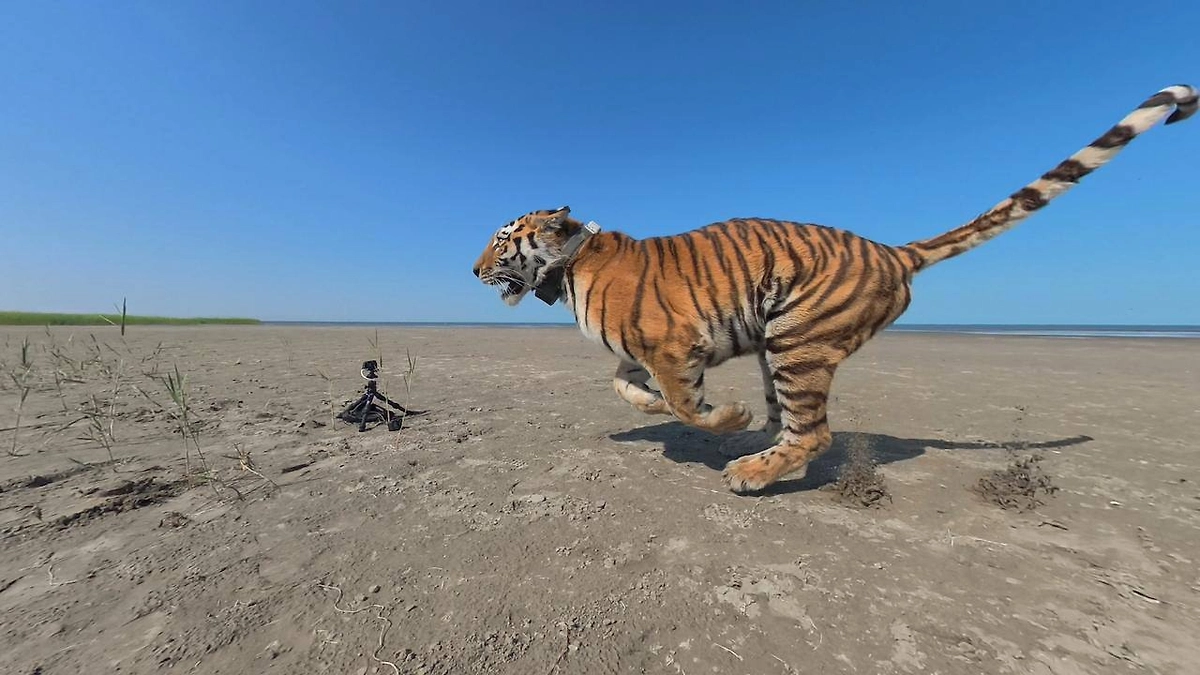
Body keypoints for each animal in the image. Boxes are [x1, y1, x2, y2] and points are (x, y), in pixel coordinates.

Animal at [472, 84, 1196, 494]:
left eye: (502, 240)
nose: (473, 270)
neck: (568, 268)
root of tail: (890, 249)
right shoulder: (641, 352)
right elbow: (628, 387)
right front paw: (653, 407)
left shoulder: (675, 347)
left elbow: (685, 404)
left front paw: (720, 419)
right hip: (778, 344)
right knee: (793, 424)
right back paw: (756, 452)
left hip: (798, 340)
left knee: (814, 432)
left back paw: (748, 470)